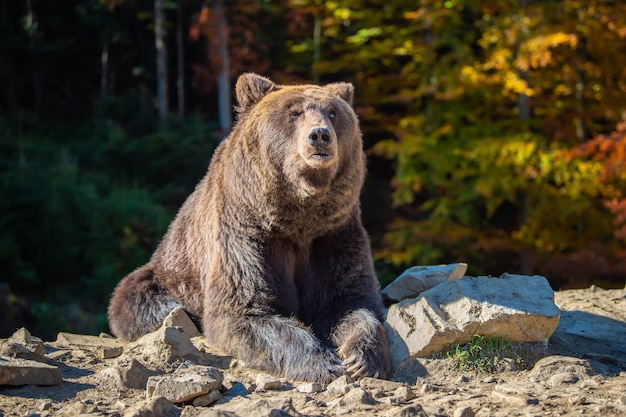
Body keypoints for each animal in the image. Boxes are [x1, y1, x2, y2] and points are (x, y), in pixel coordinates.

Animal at [107, 72, 390, 384]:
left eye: (332, 112)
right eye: (294, 113)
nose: (319, 135)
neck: (298, 217)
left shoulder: (333, 233)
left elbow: (349, 301)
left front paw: (362, 358)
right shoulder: (247, 234)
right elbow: (245, 309)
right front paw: (323, 363)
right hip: (171, 271)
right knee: (139, 300)